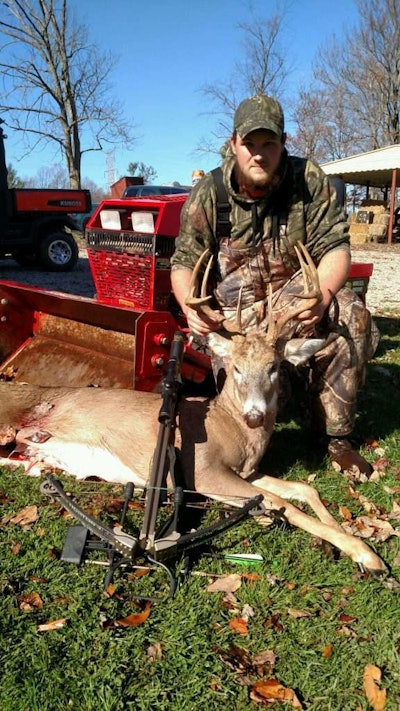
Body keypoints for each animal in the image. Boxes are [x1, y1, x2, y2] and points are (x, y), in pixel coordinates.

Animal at [0, 244, 388, 576]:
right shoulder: (203, 470)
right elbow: (284, 503)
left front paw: (347, 539)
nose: (255, 415)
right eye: (236, 368)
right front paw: (366, 556)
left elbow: (305, 489)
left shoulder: (247, 472)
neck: (231, 429)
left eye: (275, 366)